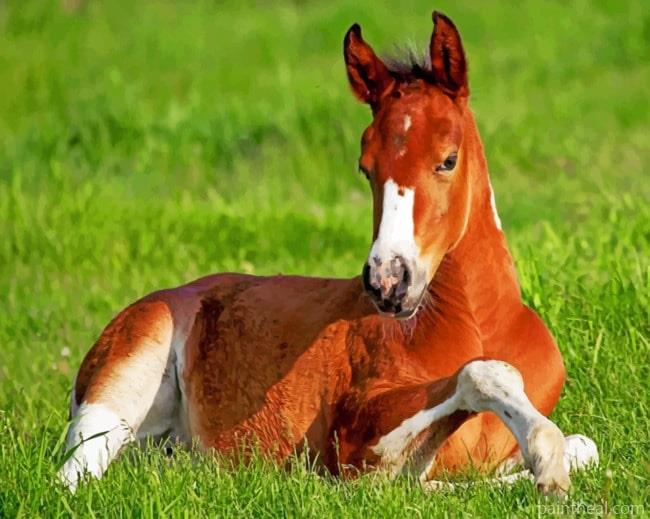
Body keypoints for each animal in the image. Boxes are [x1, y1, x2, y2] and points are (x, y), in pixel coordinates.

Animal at [59, 12, 598, 495]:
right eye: (365, 167)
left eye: (448, 159)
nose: (387, 281)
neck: (477, 324)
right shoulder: (355, 438)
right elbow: (475, 383)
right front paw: (545, 462)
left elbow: (585, 446)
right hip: (120, 384)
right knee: (74, 476)